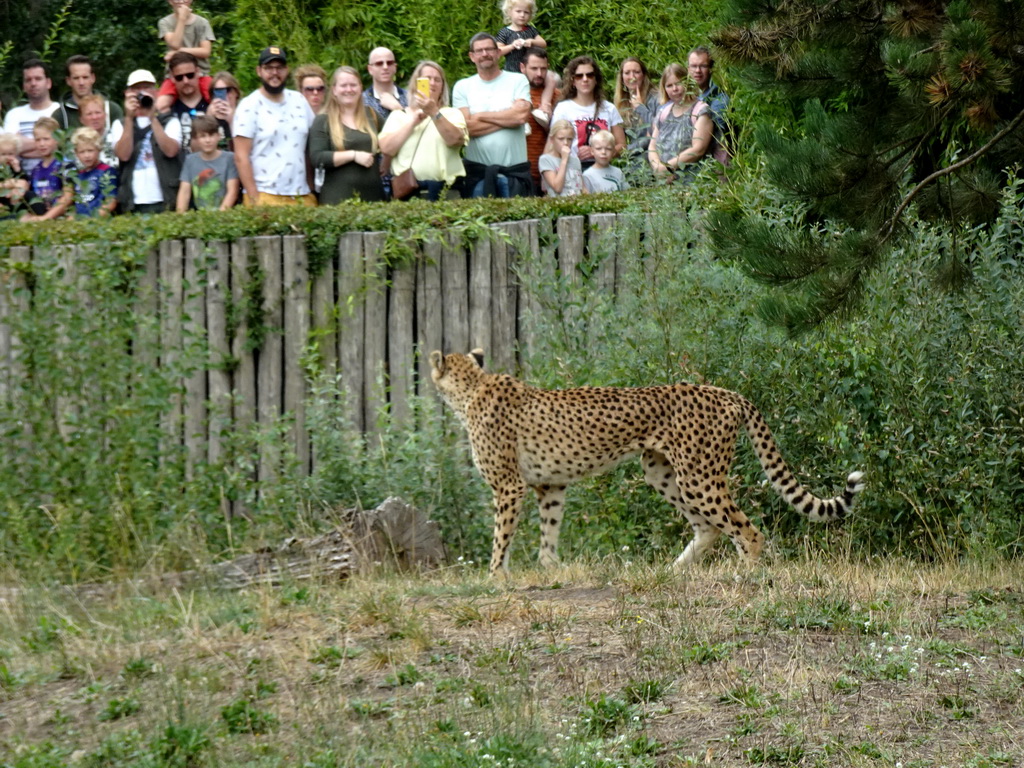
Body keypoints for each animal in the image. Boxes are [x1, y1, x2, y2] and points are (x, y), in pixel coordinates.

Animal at [428, 348, 868, 577]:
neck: (471, 388)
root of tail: (726, 391)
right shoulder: (550, 486)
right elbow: (548, 532)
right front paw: (552, 569)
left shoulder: (509, 486)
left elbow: (501, 536)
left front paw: (494, 578)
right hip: (661, 471)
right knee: (709, 527)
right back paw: (673, 570)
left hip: (698, 476)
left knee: (746, 529)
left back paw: (744, 573)